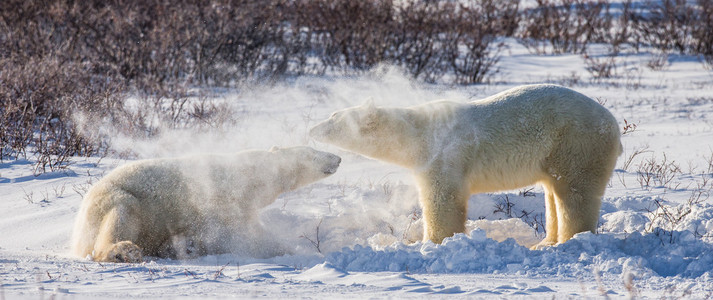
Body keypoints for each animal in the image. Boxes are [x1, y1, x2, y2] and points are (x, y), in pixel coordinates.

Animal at [70, 146, 342, 262]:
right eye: (313, 152)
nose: (338, 158)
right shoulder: (221, 197)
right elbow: (241, 234)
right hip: (115, 199)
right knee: (121, 216)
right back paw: (124, 251)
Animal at [308, 84, 620, 248]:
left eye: (334, 117)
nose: (312, 128)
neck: (417, 134)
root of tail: (613, 123)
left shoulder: (444, 155)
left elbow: (442, 198)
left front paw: (433, 242)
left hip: (576, 142)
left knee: (575, 192)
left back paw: (570, 239)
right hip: (554, 153)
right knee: (553, 190)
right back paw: (544, 242)